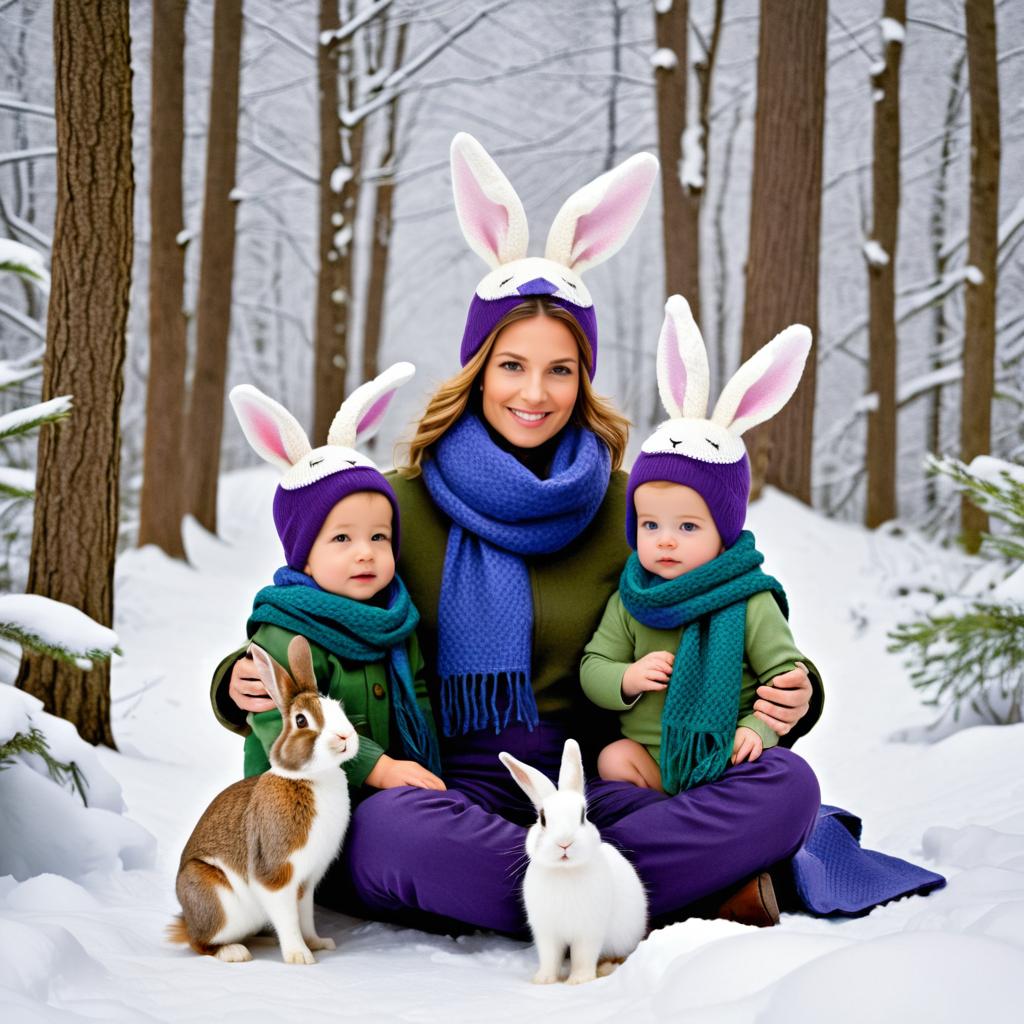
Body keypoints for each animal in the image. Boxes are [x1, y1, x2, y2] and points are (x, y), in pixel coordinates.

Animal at [165, 634, 358, 962]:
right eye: (301, 721)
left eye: (338, 707)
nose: (345, 737)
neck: (312, 777)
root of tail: (188, 922)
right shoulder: (276, 875)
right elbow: (288, 919)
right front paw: (299, 957)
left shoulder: (306, 883)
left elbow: (304, 916)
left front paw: (318, 943)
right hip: (214, 899)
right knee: (200, 943)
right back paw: (234, 952)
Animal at [497, 737, 647, 983]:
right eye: (543, 819)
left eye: (583, 816)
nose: (564, 843)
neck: (565, 872)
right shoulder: (547, 933)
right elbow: (550, 958)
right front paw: (543, 980)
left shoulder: (589, 931)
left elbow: (583, 957)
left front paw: (579, 981)